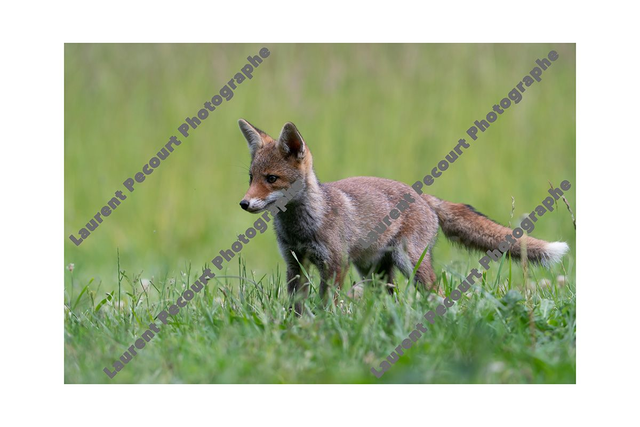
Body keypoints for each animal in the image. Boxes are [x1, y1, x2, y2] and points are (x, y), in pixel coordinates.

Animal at [237, 119, 569, 314]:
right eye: (251, 177)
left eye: (271, 179)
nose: (244, 203)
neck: (301, 227)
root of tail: (422, 195)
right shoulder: (295, 263)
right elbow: (296, 307)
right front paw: (297, 329)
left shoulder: (335, 263)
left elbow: (327, 303)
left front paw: (323, 325)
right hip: (373, 271)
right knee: (390, 298)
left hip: (411, 263)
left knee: (438, 292)